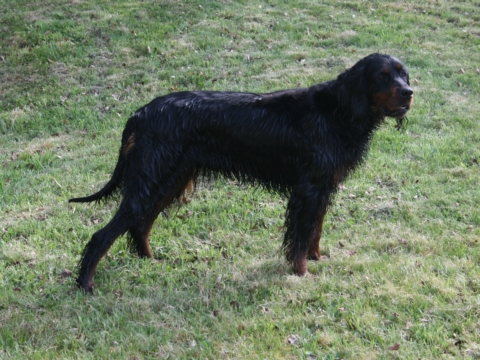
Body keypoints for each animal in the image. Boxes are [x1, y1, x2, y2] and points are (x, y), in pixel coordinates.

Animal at [70, 53, 412, 292]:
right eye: (382, 77)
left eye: (402, 73)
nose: (409, 92)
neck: (338, 111)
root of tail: (140, 113)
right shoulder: (309, 189)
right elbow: (301, 235)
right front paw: (301, 271)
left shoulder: (323, 188)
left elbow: (315, 229)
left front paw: (317, 258)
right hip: (150, 179)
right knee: (104, 234)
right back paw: (85, 284)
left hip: (169, 179)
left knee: (140, 225)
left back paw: (150, 262)